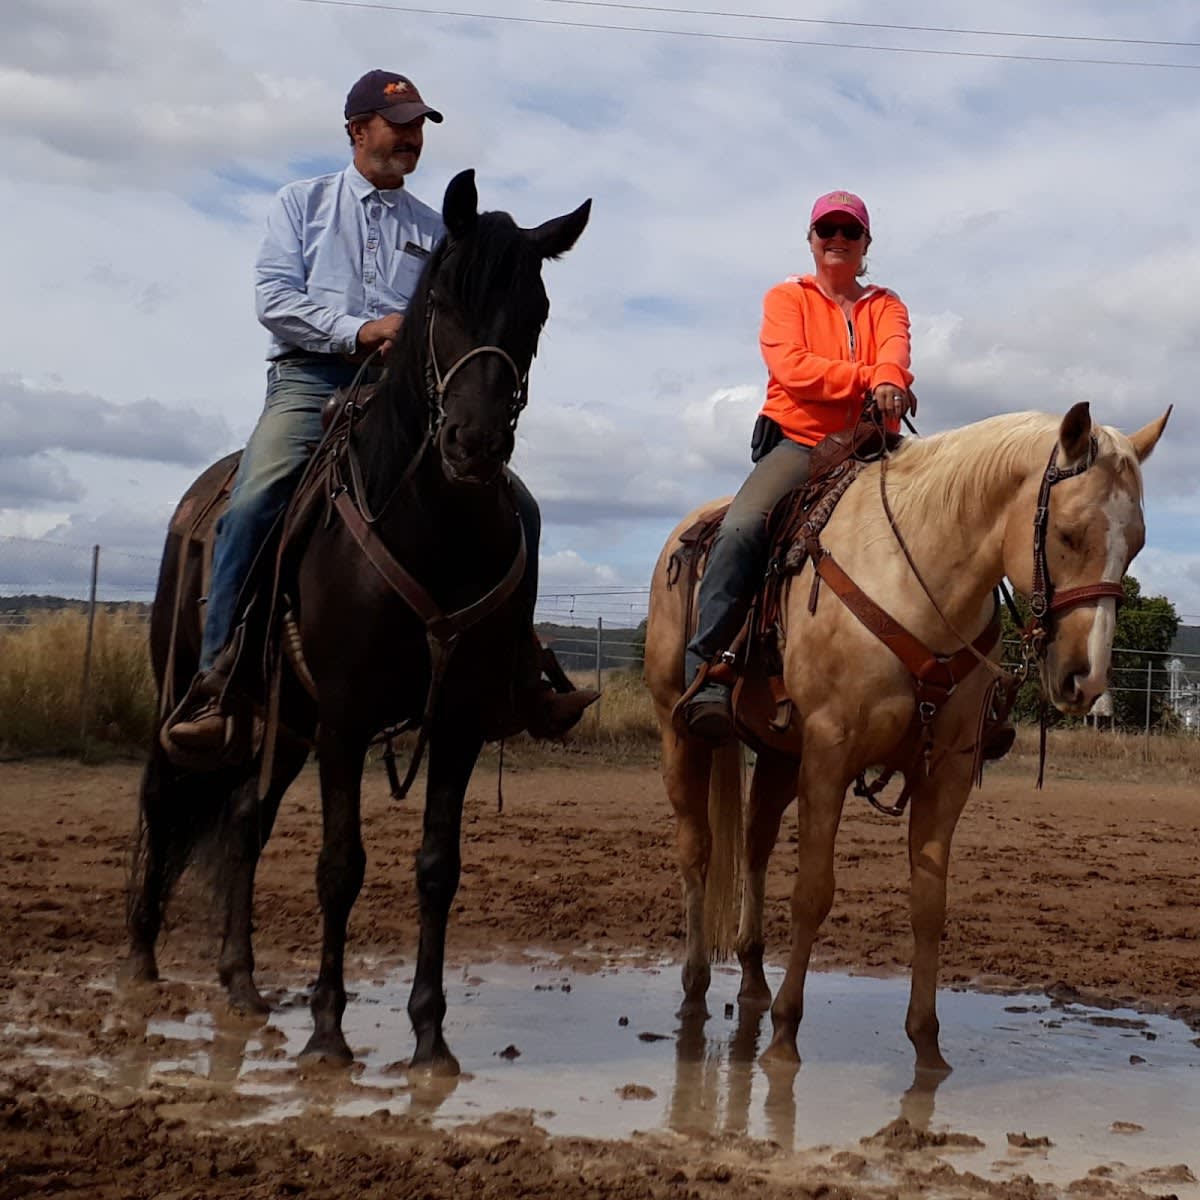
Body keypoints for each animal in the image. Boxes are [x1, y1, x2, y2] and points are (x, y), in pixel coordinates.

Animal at [124, 170, 590, 1074]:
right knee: (165, 794)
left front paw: (430, 1037)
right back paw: (141, 960)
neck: (429, 523)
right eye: (439, 296)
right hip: (190, 691)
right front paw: (328, 1033)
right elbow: (339, 865)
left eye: (539, 311)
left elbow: (437, 867)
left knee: (244, 822)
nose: (475, 443)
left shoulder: (457, 720)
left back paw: (241, 982)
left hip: (283, 723)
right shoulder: (344, 716)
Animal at [644, 403, 1169, 1071]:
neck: (914, 578)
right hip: (680, 731)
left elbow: (928, 903)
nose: (1087, 678)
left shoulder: (946, 769)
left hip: (778, 756)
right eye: (1070, 533)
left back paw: (755, 980)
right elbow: (813, 891)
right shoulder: (829, 754)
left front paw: (927, 1043)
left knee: (755, 847)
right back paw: (696, 986)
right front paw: (786, 1035)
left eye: (1137, 544)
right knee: (698, 850)